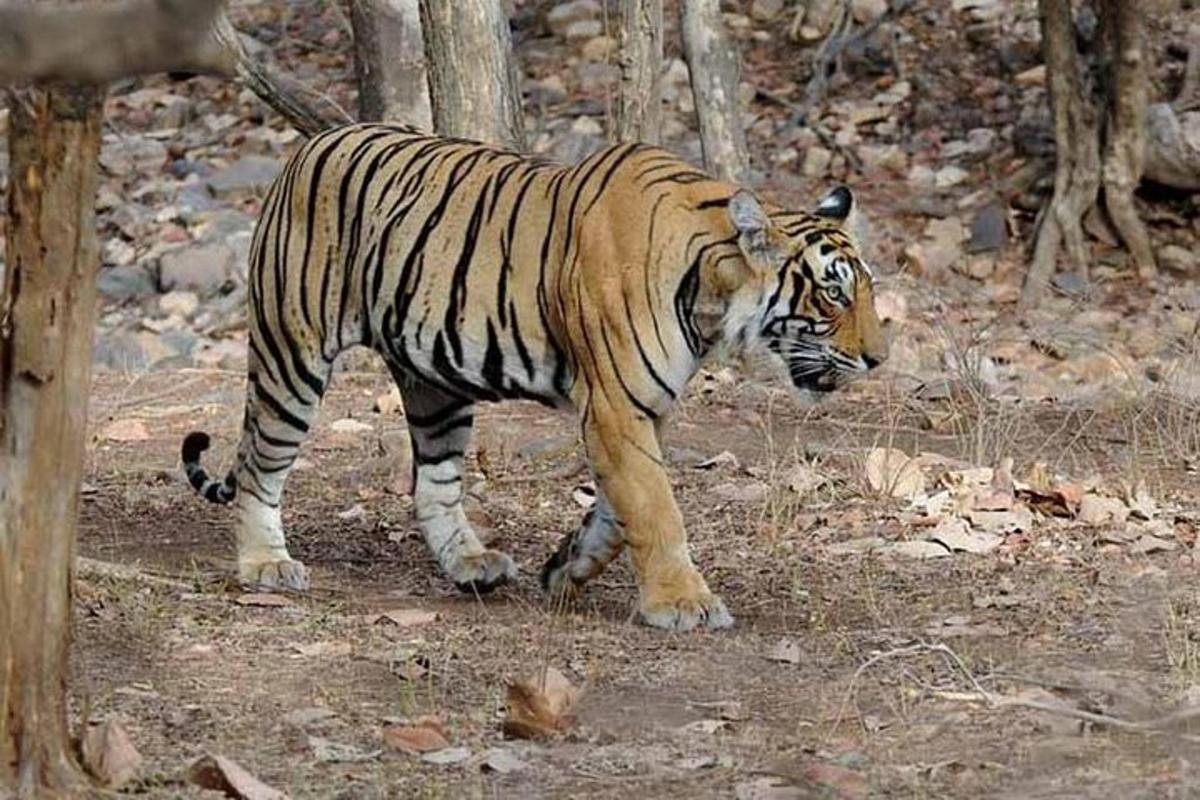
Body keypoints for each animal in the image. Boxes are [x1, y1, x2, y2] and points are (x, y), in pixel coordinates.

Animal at [180, 122, 892, 633]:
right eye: (833, 294)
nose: (880, 358)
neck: (711, 293)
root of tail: (305, 147)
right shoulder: (615, 406)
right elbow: (656, 508)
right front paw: (683, 602)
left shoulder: (643, 407)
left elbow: (619, 508)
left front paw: (567, 567)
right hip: (291, 355)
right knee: (260, 469)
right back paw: (266, 565)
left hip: (435, 383)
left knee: (433, 483)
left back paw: (471, 565)